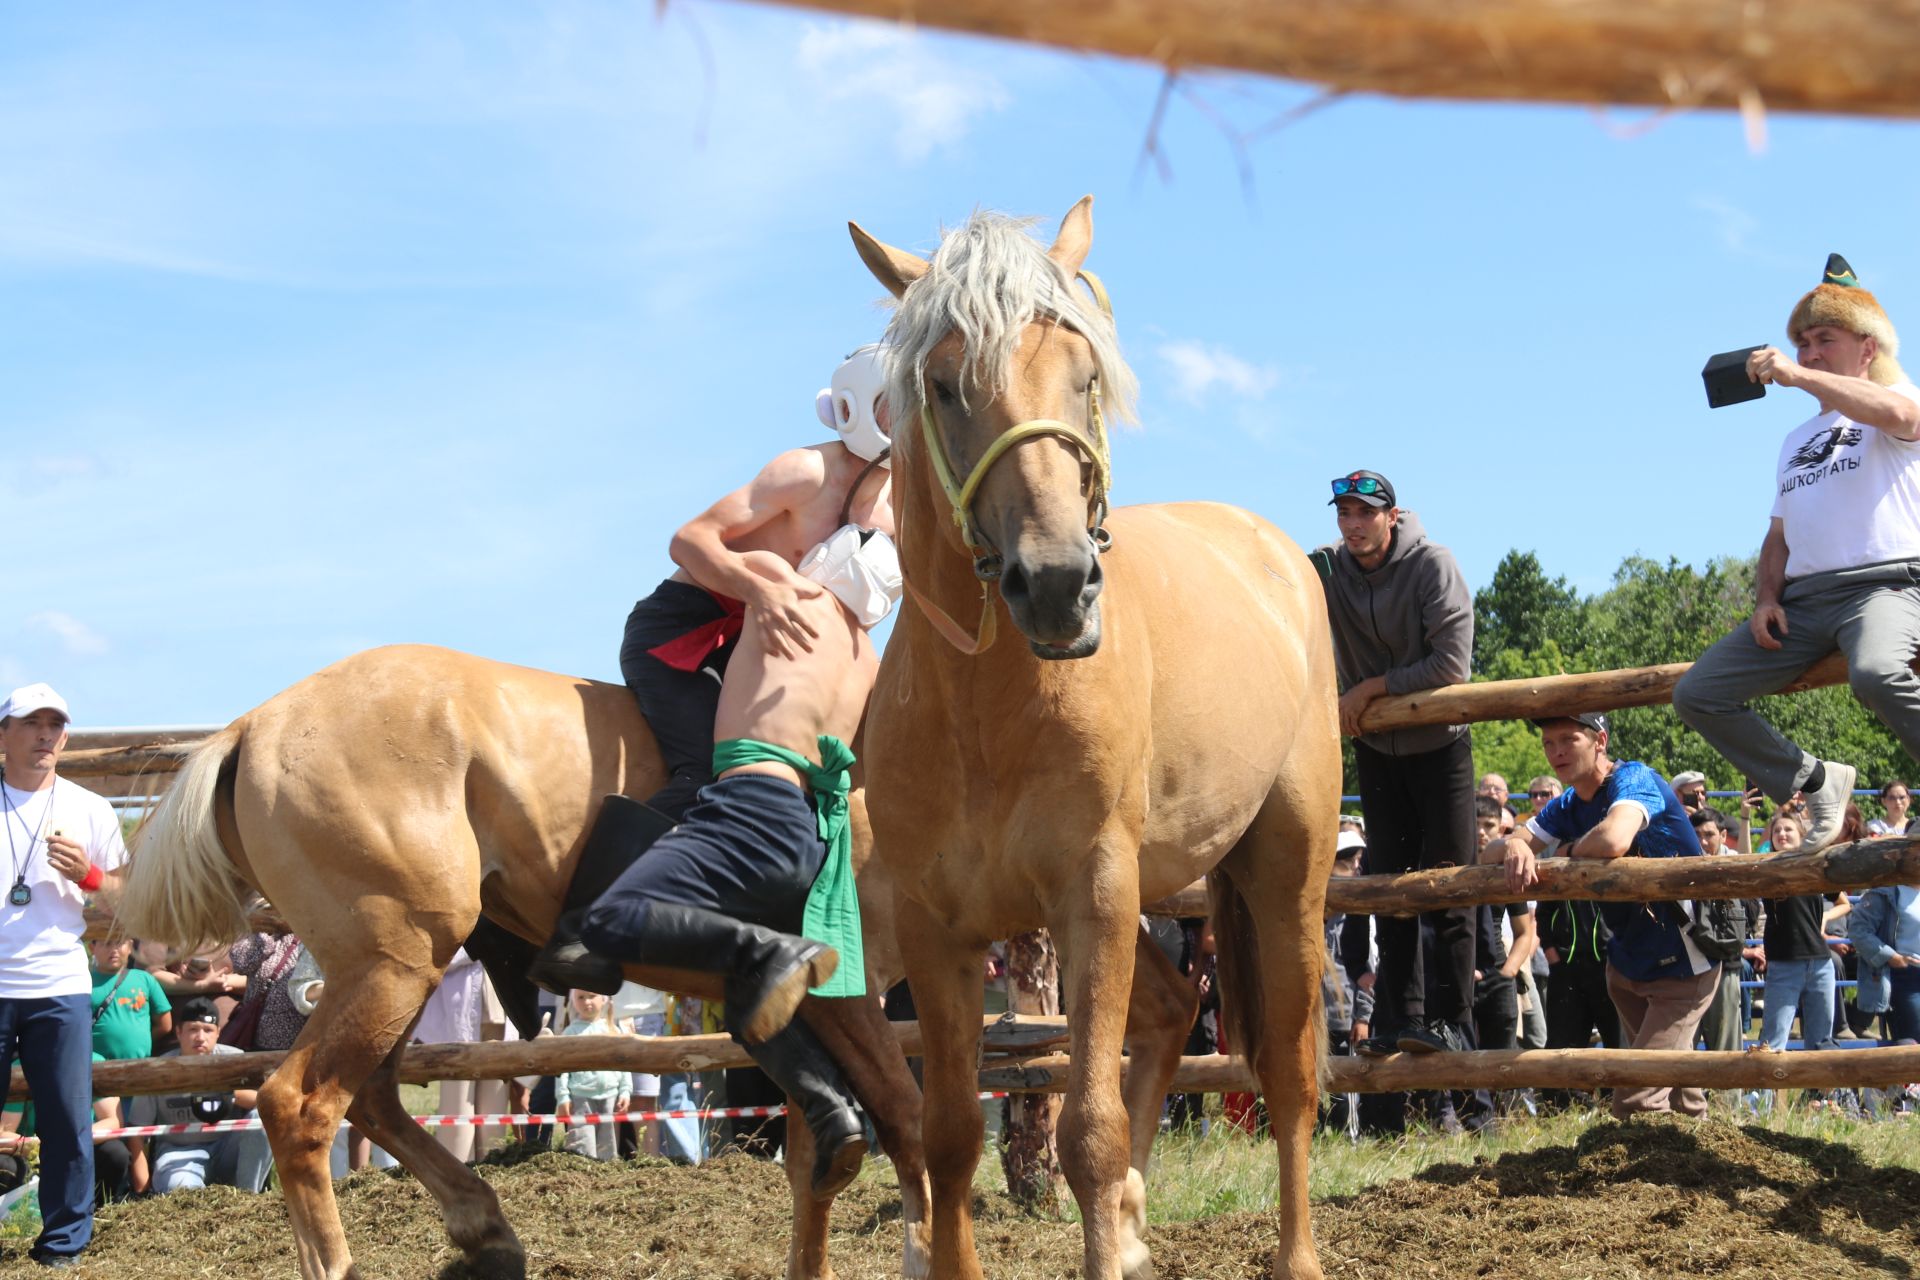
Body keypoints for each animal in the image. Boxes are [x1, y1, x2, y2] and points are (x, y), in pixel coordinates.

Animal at [116, 644, 933, 1280]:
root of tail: (254, 725)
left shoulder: (807, 1006)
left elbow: (820, 1157)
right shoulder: (850, 994)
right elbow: (904, 1119)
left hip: (395, 967)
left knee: (373, 1096)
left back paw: (488, 1232)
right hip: (396, 963)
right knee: (301, 1105)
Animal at [856, 202, 1336, 1280]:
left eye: (1083, 374)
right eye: (944, 384)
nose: (1057, 581)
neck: (985, 710)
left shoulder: (1096, 893)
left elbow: (1088, 1133)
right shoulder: (936, 930)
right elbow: (952, 1135)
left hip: (1286, 871)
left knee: (1289, 1072)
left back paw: (1291, 1253)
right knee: (1172, 1011)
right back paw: (1135, 1219)